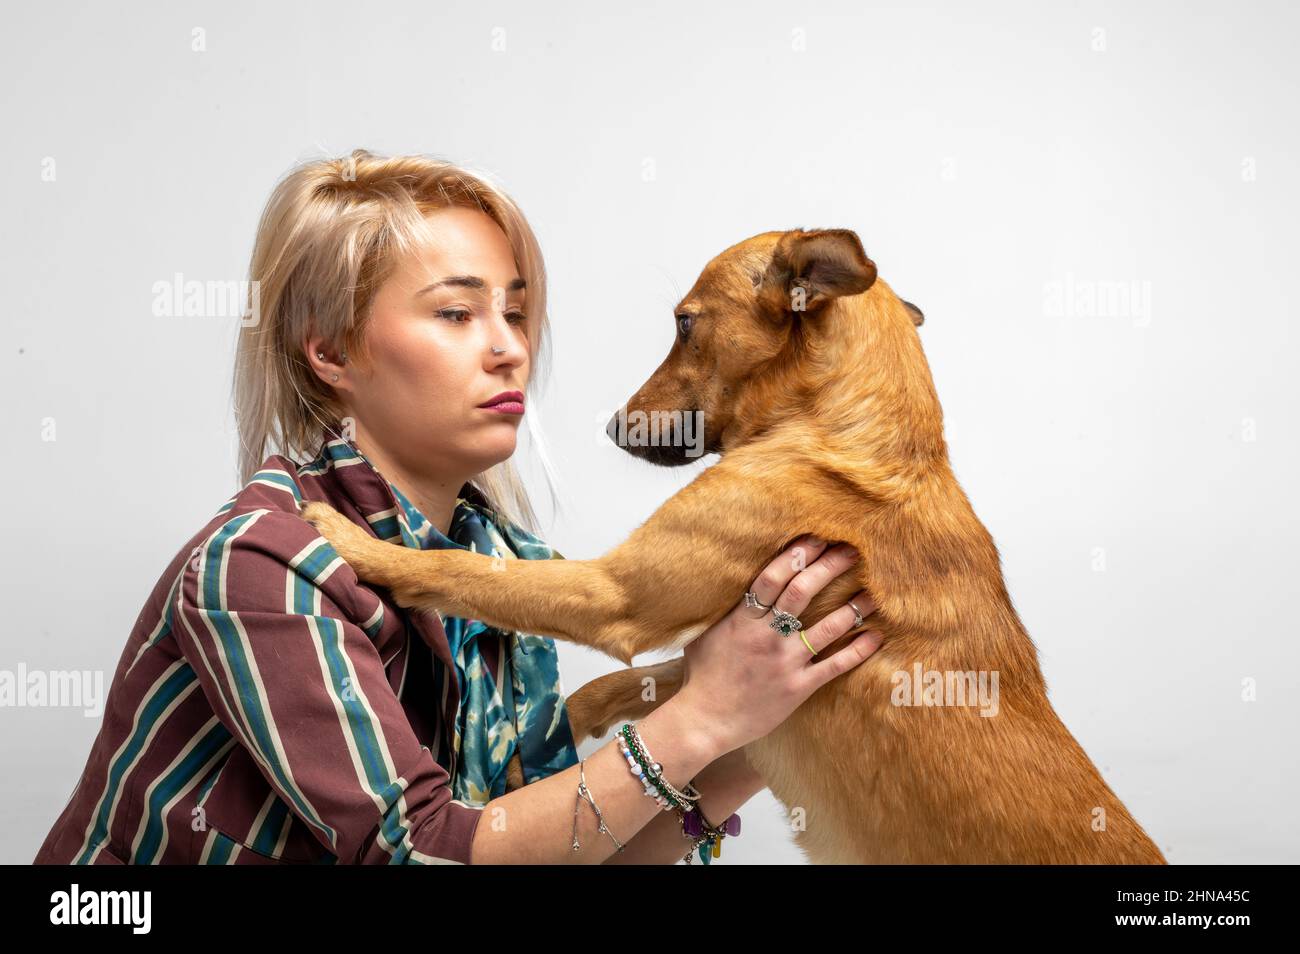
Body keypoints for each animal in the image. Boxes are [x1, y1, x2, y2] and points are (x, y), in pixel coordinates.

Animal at [301, 231, 1170, 868]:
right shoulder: (713, 643)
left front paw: (351, 538)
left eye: (685, 323)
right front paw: (548, 744)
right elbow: (640, 686)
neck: (860, 441)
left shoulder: (615, 595)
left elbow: (467, 569)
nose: (610, 426)